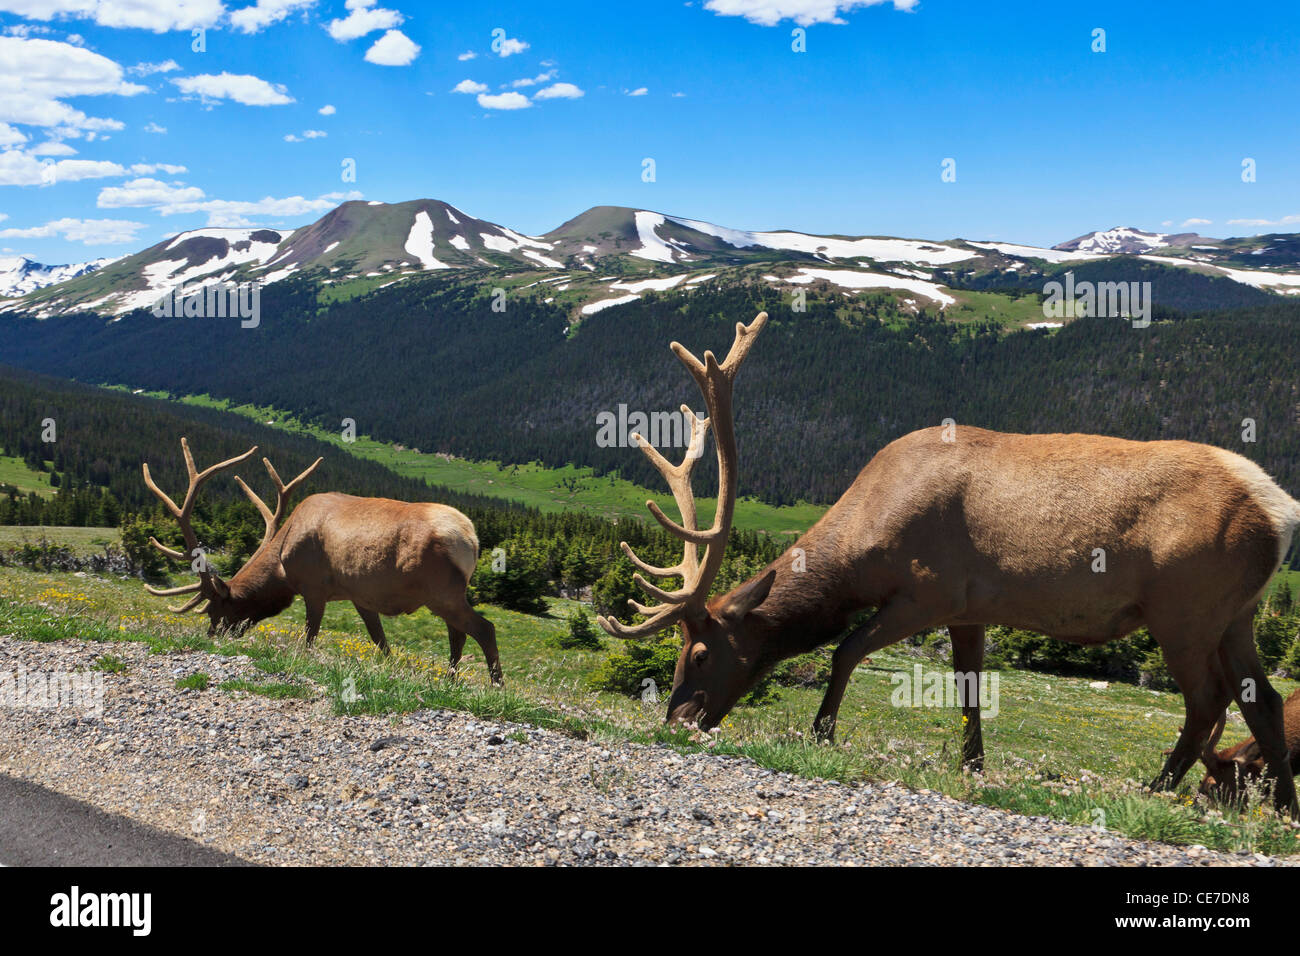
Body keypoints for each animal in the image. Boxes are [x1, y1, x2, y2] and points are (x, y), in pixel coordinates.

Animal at [141, 438, 501, 684]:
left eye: (217, 608)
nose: (211, 636)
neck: (282, 566)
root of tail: (471, 539)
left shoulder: (314, 588)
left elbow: (310, 637)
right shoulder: (361, 596)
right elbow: (380, 641)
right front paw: (388, 668)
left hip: (441, 591)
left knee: (483, 628)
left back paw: (495, 684)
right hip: (446, 595)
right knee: (457, 633)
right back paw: (450, 680)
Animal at [596, 311, 1300, 814]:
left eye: (701, 654)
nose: (676, 720)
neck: (864, 544)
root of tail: (1281, 510)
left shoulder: (928, 592)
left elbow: (845, 651)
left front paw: (821, 735)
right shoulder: (970, 607)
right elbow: (968, 690)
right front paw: (972, 768)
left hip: (1187, 609)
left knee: (1209, 700)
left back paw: (1156, 789)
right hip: (1239, 613)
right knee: (1263, 697)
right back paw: (1282, 810)